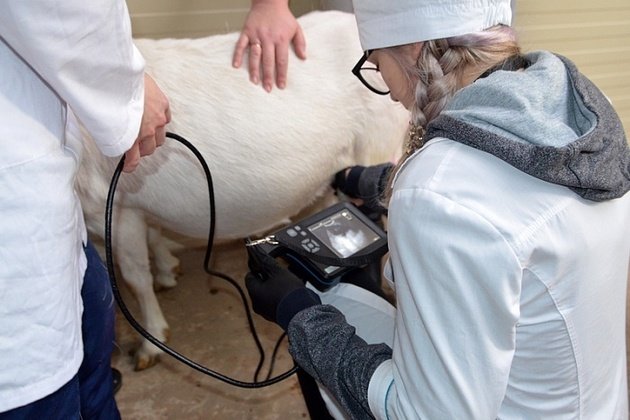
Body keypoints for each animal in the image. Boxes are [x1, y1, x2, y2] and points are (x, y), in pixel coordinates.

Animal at [78, 9, 410, 370]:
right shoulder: (136, 204)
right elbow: (153, 240)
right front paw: (168, 270)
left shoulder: (113, 208)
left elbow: (134, 279)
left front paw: (151, 342)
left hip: (379, 142)